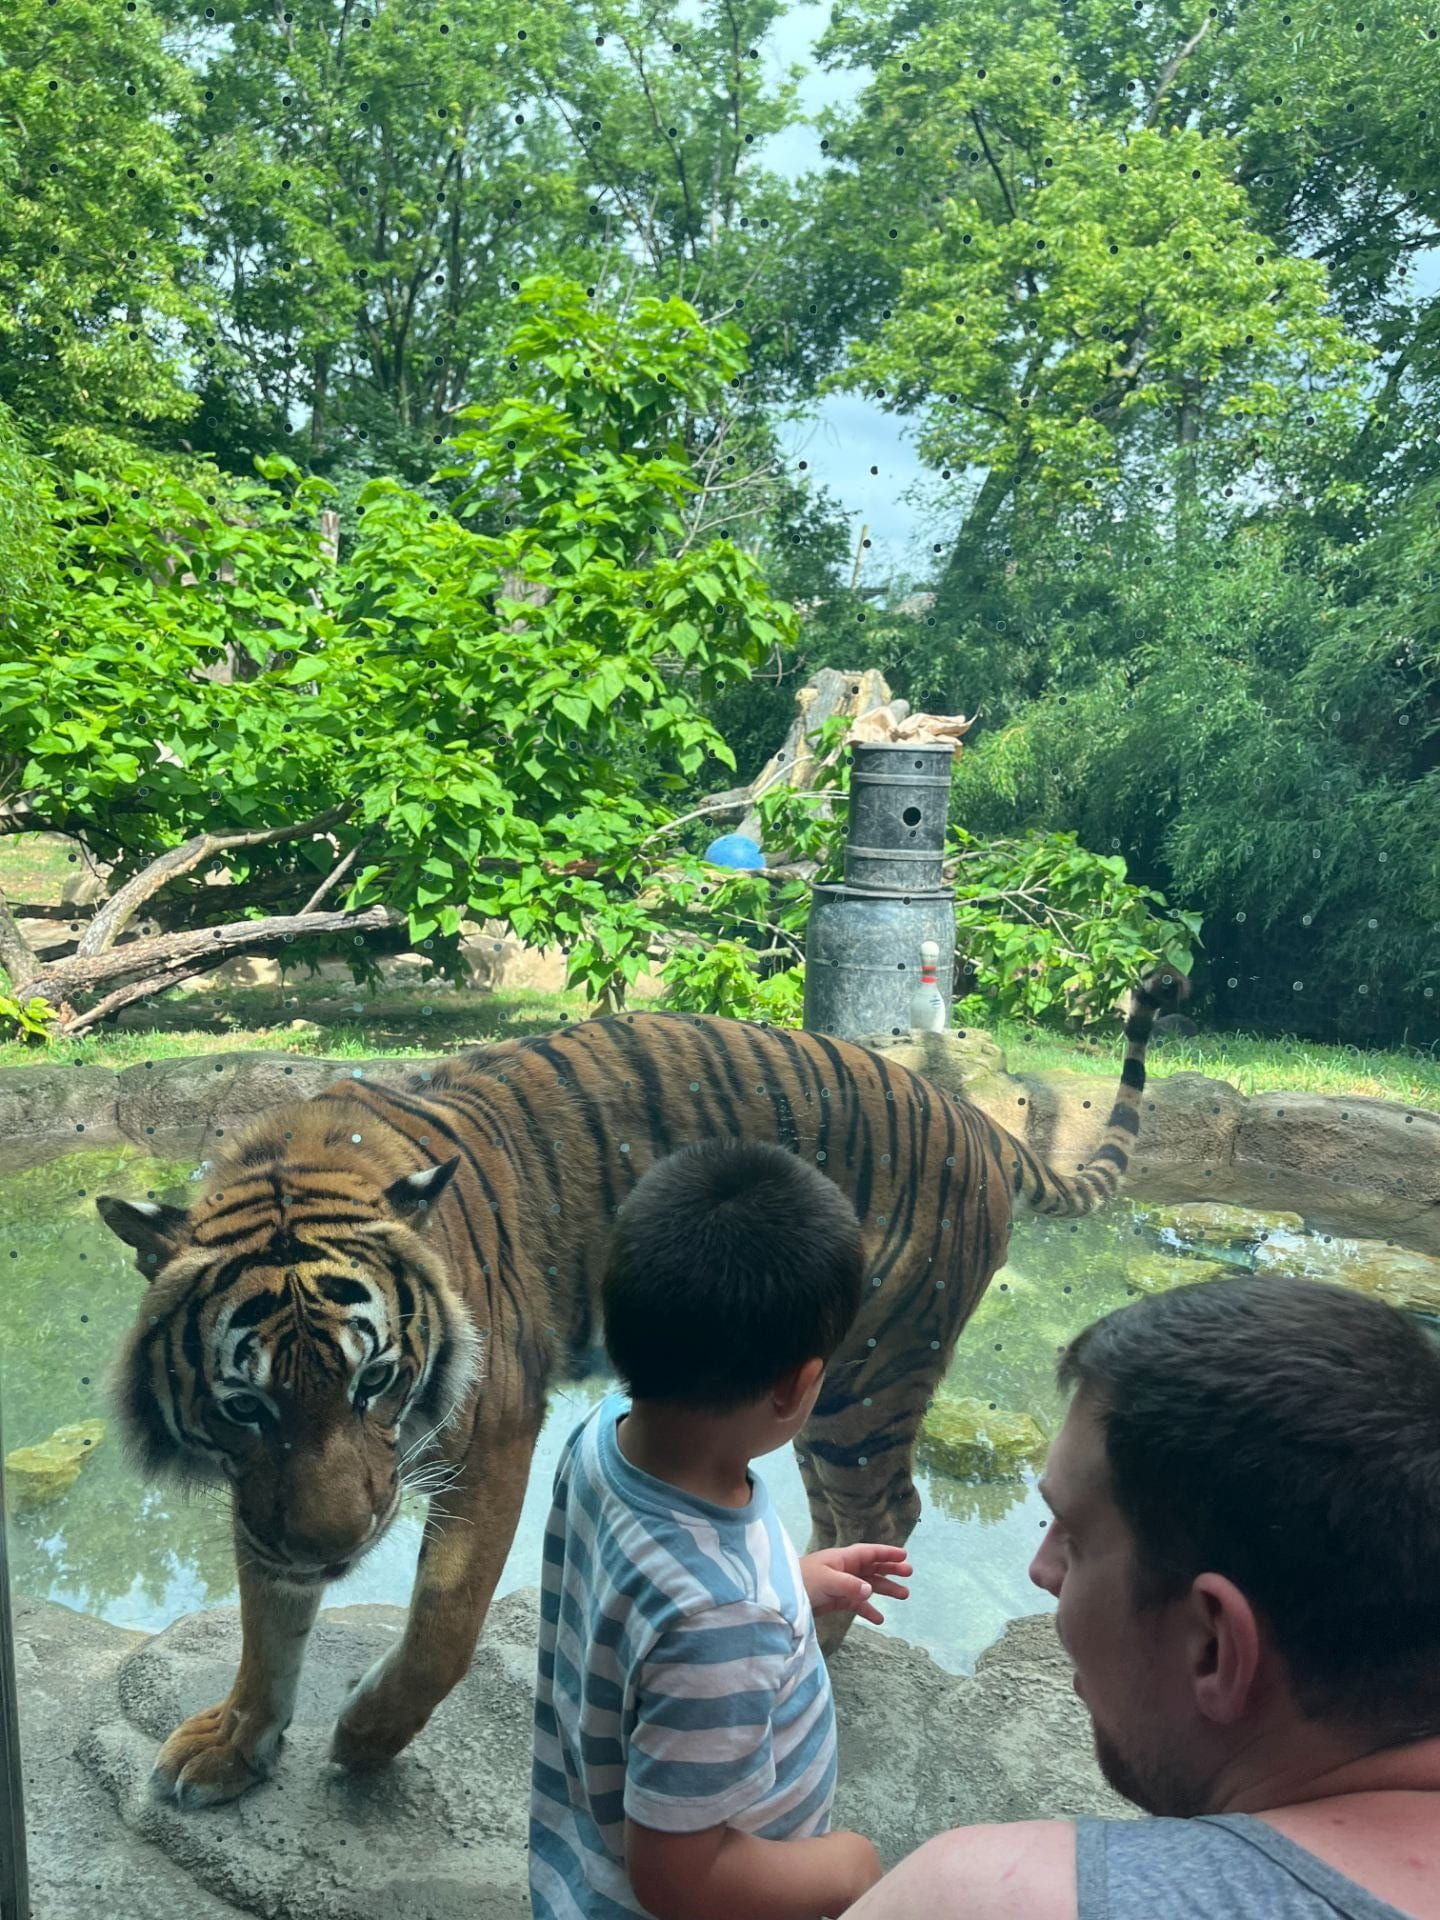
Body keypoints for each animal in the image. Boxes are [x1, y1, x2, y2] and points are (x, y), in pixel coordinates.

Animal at [96, 967, 1185, 1810]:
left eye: (377, 1381)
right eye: (245, 1405)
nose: (332, 1552)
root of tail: (978, 1120)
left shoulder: (491, 1432)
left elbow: (443, 1625)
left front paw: (363, 1742)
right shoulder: (262, 1496)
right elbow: (265, 1624)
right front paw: (234, 1745)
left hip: (872, 1375)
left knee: (890, 1506)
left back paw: (818, 1648)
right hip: (824, 1387)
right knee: (846, 1513)